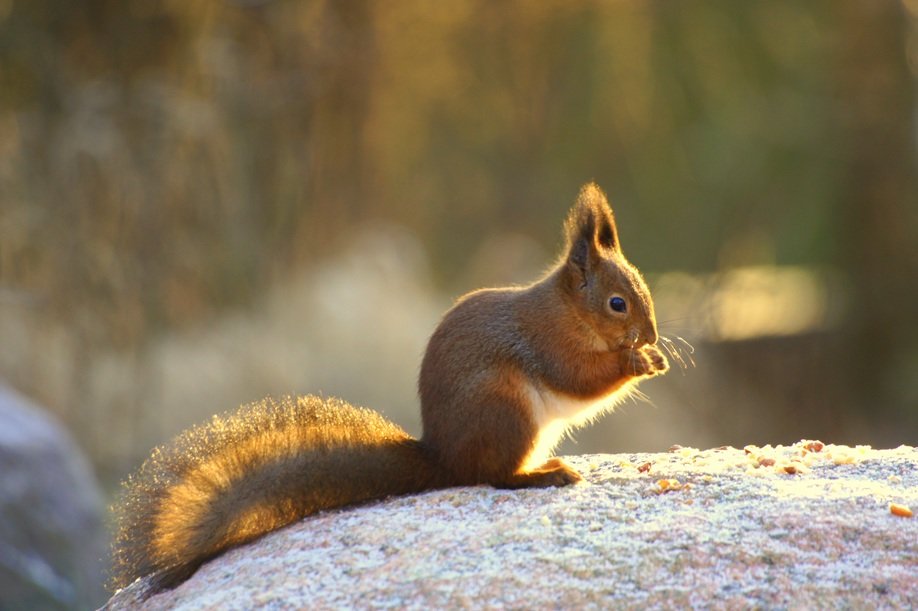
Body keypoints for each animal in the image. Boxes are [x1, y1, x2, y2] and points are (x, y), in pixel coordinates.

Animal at [109, 182, 668, 592]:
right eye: (618, 303)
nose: (653, 335)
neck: (569, 313)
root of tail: (443, 458)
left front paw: (654, 356)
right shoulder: (549, 344)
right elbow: (582, 379)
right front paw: (637, 361)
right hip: (505, 408)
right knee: (492, 476)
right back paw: (542, 475)